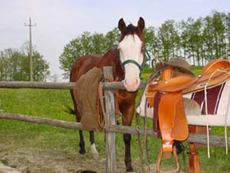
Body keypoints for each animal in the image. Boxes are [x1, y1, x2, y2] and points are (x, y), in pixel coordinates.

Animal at [70, 17, 145, 172]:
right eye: (120, 48)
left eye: (142, 47)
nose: (131, 83)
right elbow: (109, 134)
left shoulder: (128, 107)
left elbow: (126, 135)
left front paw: (129, 165)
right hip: (77, 101)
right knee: (79, 120)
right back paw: (84, 149)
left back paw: (93, 151)